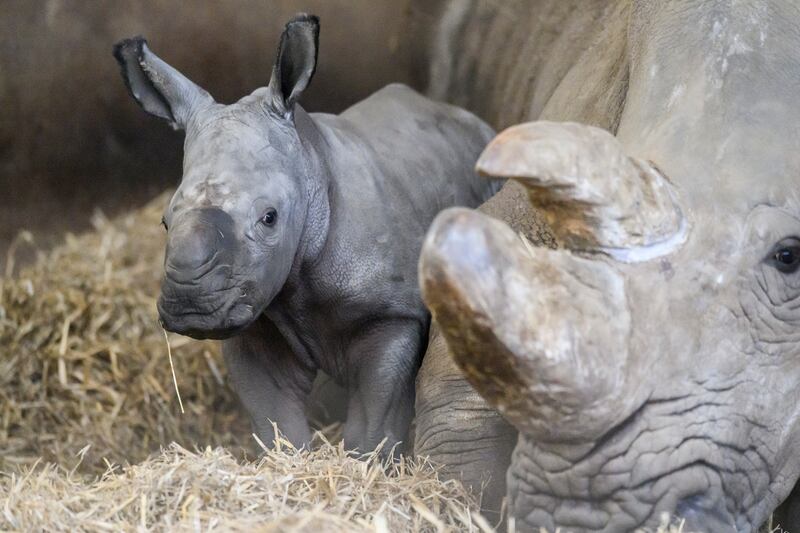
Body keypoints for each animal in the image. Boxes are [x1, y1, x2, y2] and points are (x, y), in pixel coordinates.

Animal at [115, 14, 496, 450]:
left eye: (269, 218)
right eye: (164, 221)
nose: (189, 305)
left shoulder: (394, 314)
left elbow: (374, 419)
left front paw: (366, 459)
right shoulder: (256, 317)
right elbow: (275, 419)